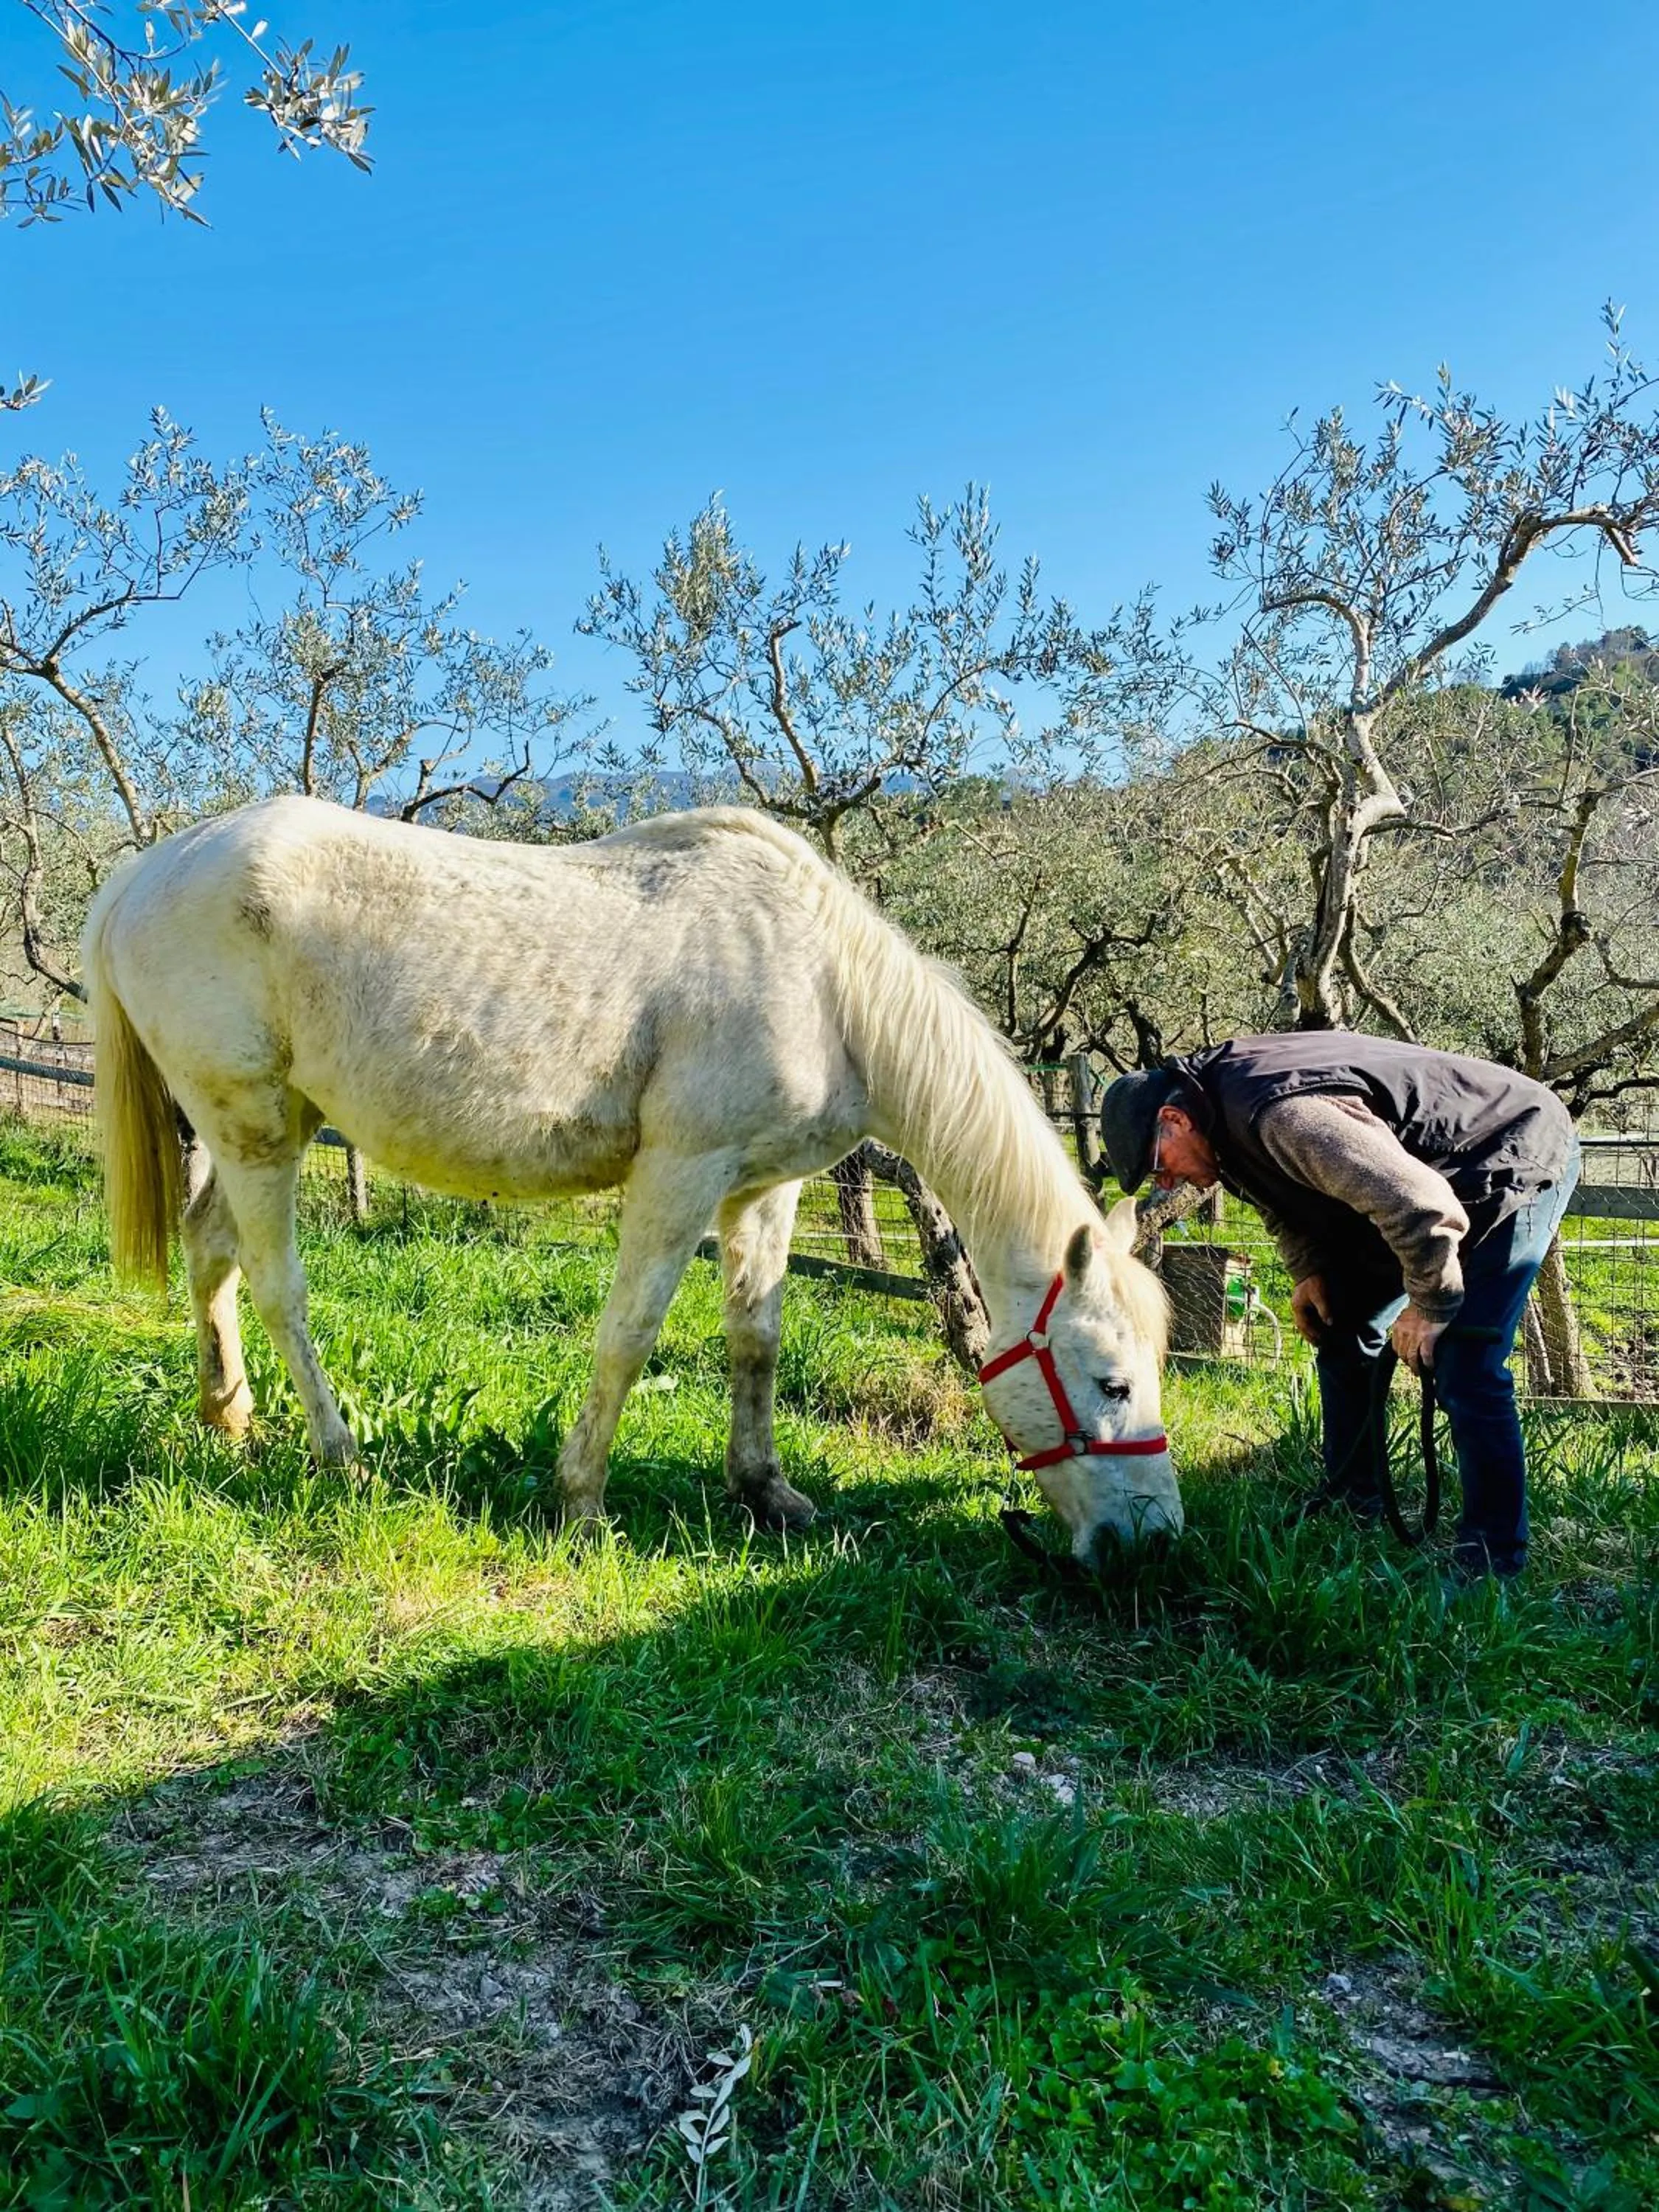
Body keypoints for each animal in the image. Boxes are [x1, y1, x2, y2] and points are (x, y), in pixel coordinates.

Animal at [83, 797, 1181, 1558]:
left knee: (210, 1253)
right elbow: (628, 1338)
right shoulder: (679, 1176)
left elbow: (755, 1340)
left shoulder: (762, 1189)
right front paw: (580, 1503)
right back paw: (340, 1457)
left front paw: (765, 1491)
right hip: (253, 1129)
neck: (825, 984)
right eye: (1111, 1380)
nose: (1156, 1541)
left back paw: (228, 1420)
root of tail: (140, 875)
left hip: (271, 1128)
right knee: (280, 1290)